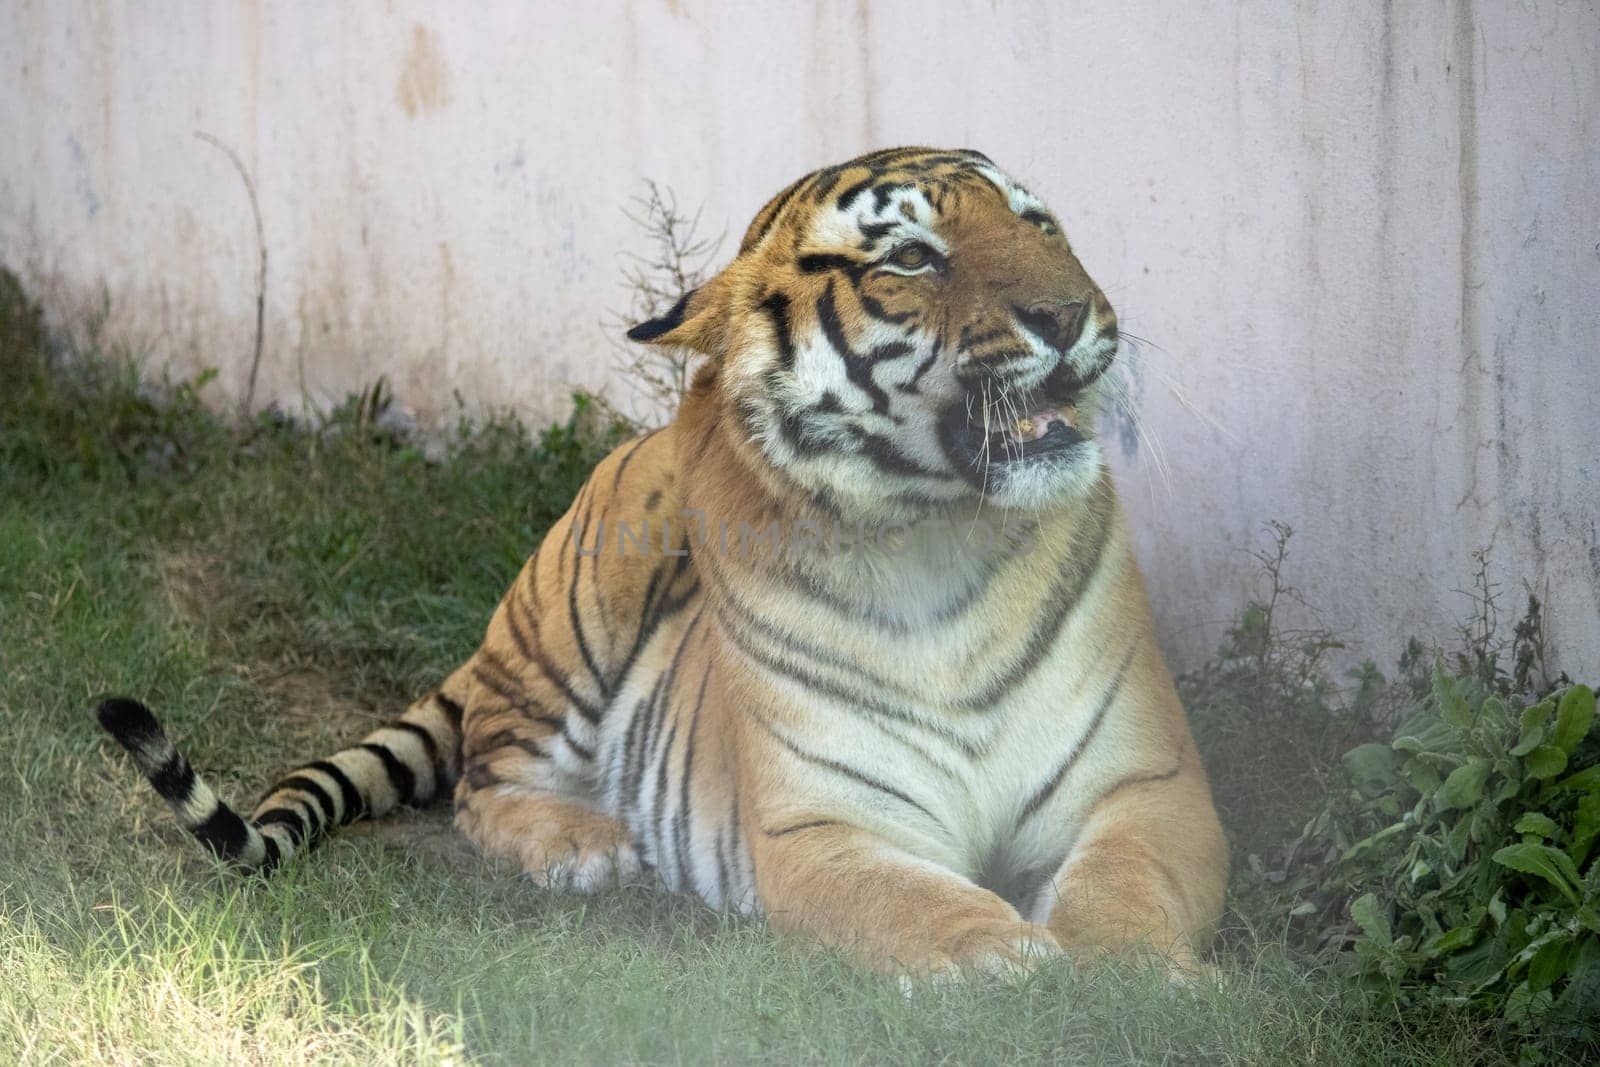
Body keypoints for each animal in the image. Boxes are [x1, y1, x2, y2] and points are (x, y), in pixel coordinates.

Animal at [96, 146, 1222, 979]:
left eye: (1040, 223)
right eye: (909, 255)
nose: (1071, 314)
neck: (940, 531)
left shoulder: (1149, 784)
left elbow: (1125, 884)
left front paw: (1126, 973)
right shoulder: (824, 825)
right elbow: (910, 899)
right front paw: (1006, 955)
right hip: (575, 619)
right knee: (481, 785)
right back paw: (584, 846)